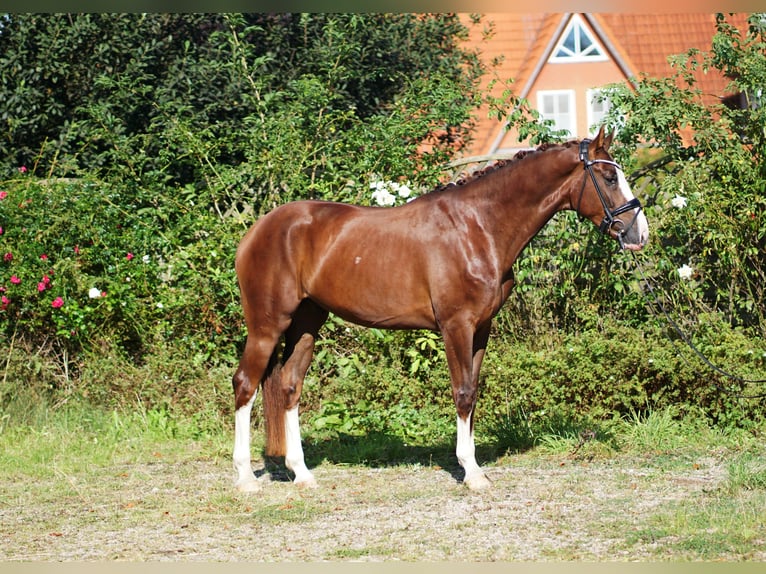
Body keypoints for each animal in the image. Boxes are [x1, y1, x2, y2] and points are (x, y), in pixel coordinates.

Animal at [232, 128, 648, 492]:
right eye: (609, 177)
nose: (638, 234)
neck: (478, 227)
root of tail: (257, 230)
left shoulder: (481, 328)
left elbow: (474, 392)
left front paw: (473, 464)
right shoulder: (456, 326)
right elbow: (462, 392)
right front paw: (472, 473)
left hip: (307, 322)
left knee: (289, 385)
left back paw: (301, 473)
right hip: (267, 326)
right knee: (245, 384)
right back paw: (246, 479)